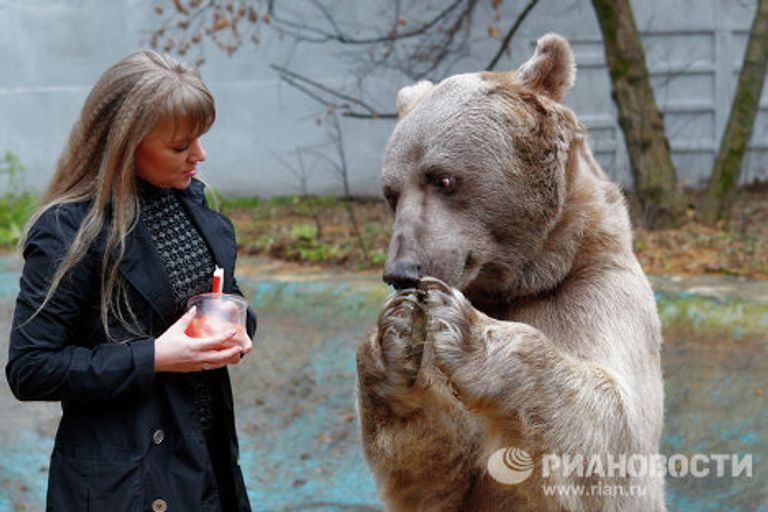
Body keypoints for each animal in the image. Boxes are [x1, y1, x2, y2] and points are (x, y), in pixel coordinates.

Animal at [355, 33, 666, 511]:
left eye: (443, 179)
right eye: (391, 193)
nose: (402, 273)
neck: (527, 279)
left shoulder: (598, 293)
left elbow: (612, 433)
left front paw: (466, 330)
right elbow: (436, 471)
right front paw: (394, 337)